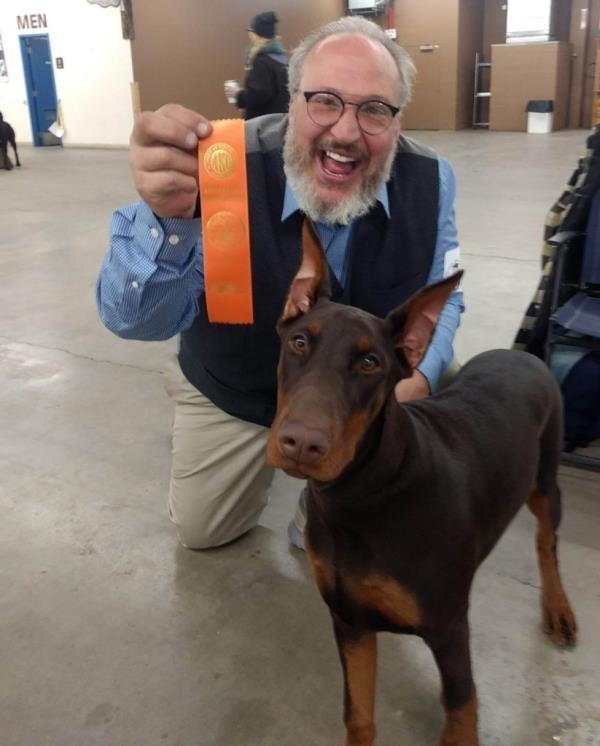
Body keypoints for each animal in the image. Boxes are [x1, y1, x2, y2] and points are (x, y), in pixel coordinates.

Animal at [268, 221, 576, 744]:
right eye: (300, 342)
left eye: (370, 363)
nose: (301, 444)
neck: (366, 495)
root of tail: (523, 355)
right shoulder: (350, 621)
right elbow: (358, 716)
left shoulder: (449, 629)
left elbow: (462, 707)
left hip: (545, 478)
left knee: (546, 542)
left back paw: (557, 607)